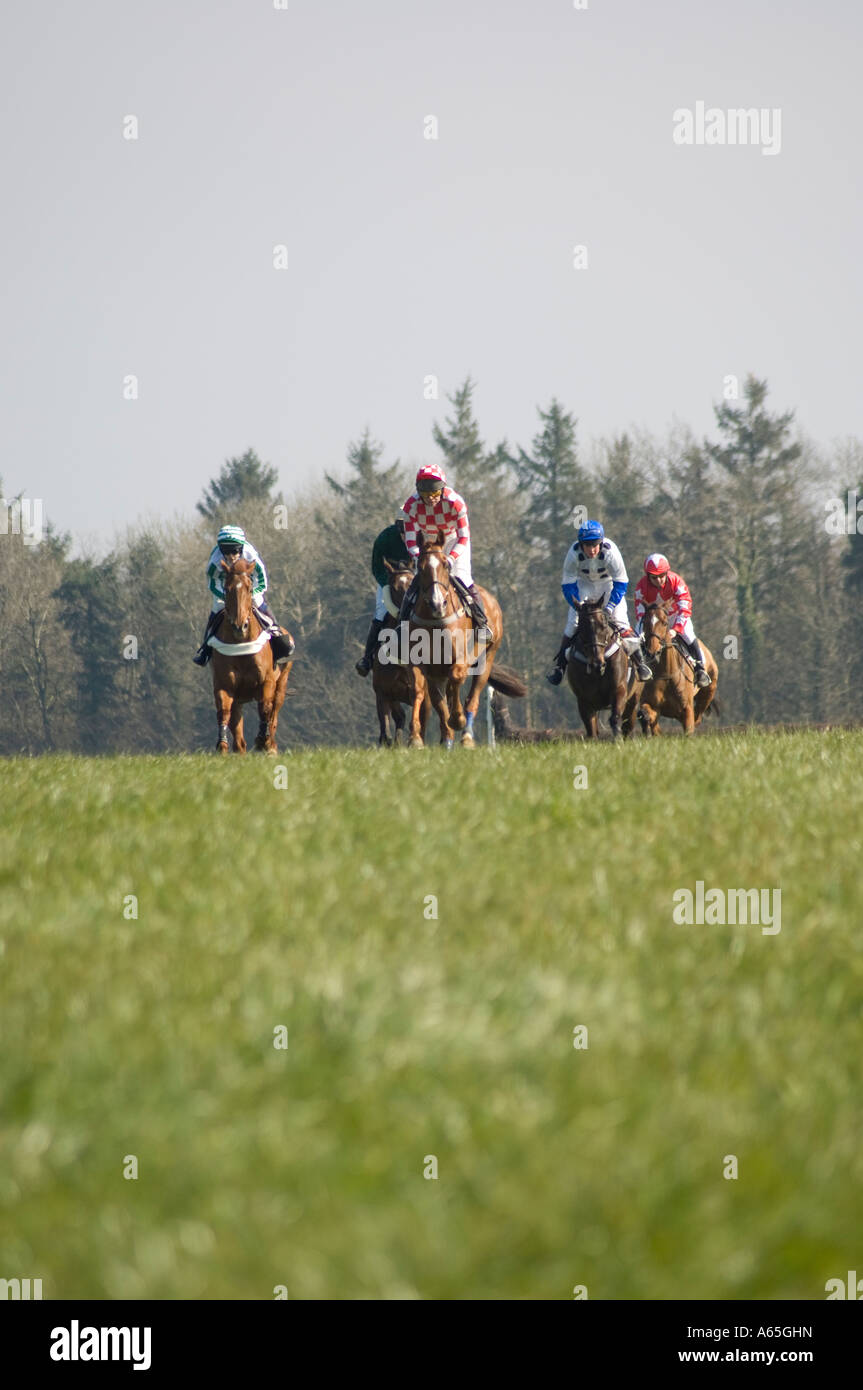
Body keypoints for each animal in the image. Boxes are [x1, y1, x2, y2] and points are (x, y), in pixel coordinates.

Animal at [208, 556, 293, 761]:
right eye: (227, 588)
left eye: (248, 587)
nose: (240, 626)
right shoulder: (224, 685)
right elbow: (224, 712)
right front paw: (222, 746)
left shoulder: (266, 681)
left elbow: (265, 709)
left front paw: (263, 742)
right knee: (237, 725)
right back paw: (240, 750)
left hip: (282, 680)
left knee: (274, 711)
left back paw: (270, 743)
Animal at [369, 556, 428, 750]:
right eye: (394, 588)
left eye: (411, 584)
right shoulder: (383, 693)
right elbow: (386, 724)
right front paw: (389, 742)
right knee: (398, 718)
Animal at [403, 530, 525, 750]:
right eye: (421, 567)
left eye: (445, 564)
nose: (437, 603)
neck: (436, 621)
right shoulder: (418, 662)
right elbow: (419, 691)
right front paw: (415, 736)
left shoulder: (462, 658)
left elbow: (457, 678)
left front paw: (458, 719)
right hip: (437, 673)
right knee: (440, 700)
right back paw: (448, 738)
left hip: (486, 659)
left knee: (471, 697)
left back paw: (466, 736)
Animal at [561, 603, 628, 745]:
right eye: (582, 628)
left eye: (603, 625)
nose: (597, 664)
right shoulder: (583, 698)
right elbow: (591, 728)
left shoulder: (619, 688)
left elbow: (615, 717)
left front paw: (618, 740)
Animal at [622, 603, 717, 745]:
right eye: (645, 622)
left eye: (665, 622)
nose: (652, 650)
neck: (666, 673)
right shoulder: (651, 704)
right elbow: (646, 715)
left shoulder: (687, 709)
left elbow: (689, 729)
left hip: (707, 693)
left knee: (698, 716)